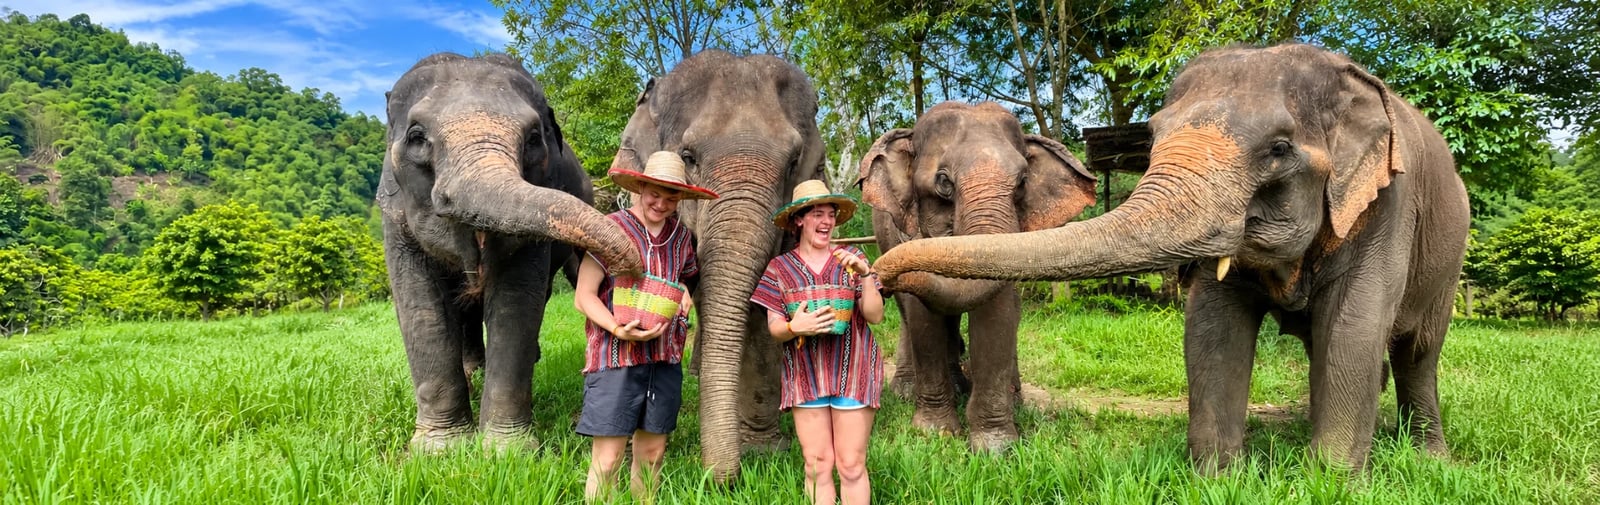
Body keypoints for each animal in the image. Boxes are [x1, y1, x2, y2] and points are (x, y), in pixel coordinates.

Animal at [377, 53, 642, 451]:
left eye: (533, 139)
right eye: (417, 137)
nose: (636, 269)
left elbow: (516, 301)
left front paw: (505, 451)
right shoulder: (393, 212)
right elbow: (420, 306)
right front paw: (440, 450)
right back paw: (474, 374)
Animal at [857, 101, 1097, 452]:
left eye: (1022, 182)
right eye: (943, 182)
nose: (879, 276)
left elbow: (998, 312)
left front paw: (996, 449)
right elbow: (923, 318)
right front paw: (935, 434)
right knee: (909, 315)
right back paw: (908, 392)